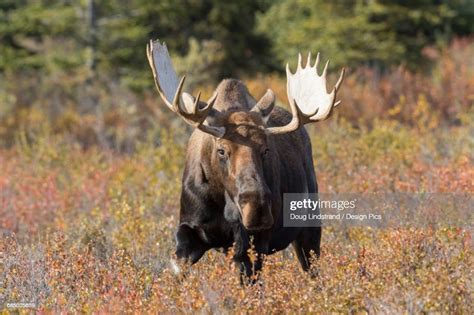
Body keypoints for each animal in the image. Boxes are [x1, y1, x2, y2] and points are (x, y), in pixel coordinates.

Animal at [145, 39, 344, 278]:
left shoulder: (252, 241)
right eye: (221, 150)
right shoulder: (189, 229)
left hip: (310, 226)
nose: (256, 207)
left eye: (266, 149)